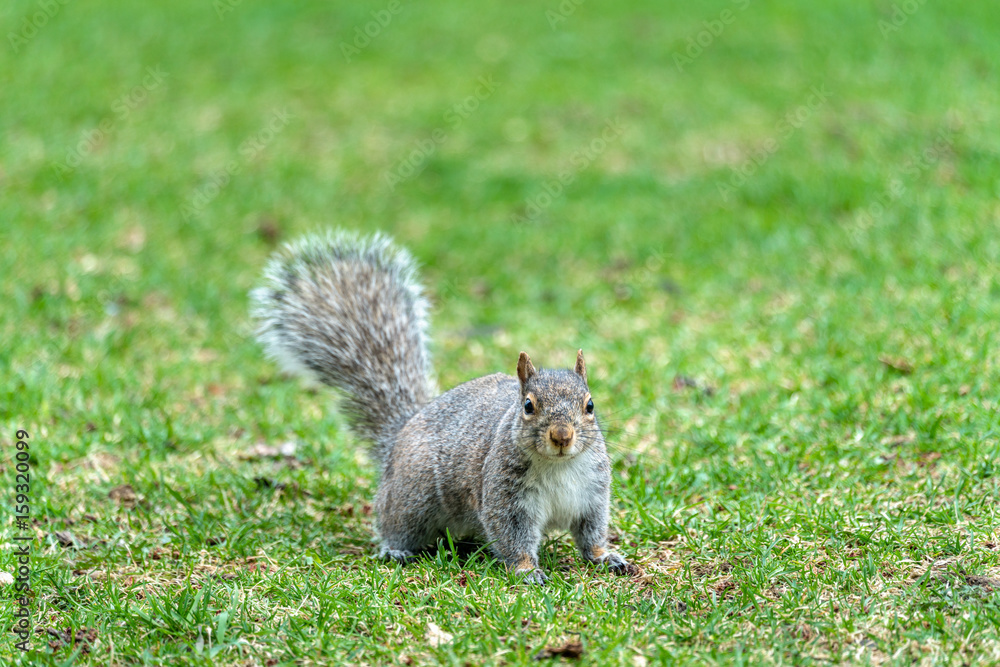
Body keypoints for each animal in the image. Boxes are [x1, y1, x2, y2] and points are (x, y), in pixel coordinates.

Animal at [250, 231, 628, 584]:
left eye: (590, 405)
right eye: (528, 406)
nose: (562, 436)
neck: (557, 466)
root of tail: (399, 435)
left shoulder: (592, 494)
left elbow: (591, 533)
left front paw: (606, 557)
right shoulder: (505, 499)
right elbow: (512, 537)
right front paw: (526, 570)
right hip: (412, 498)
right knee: (394, 523)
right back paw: (396, 550)